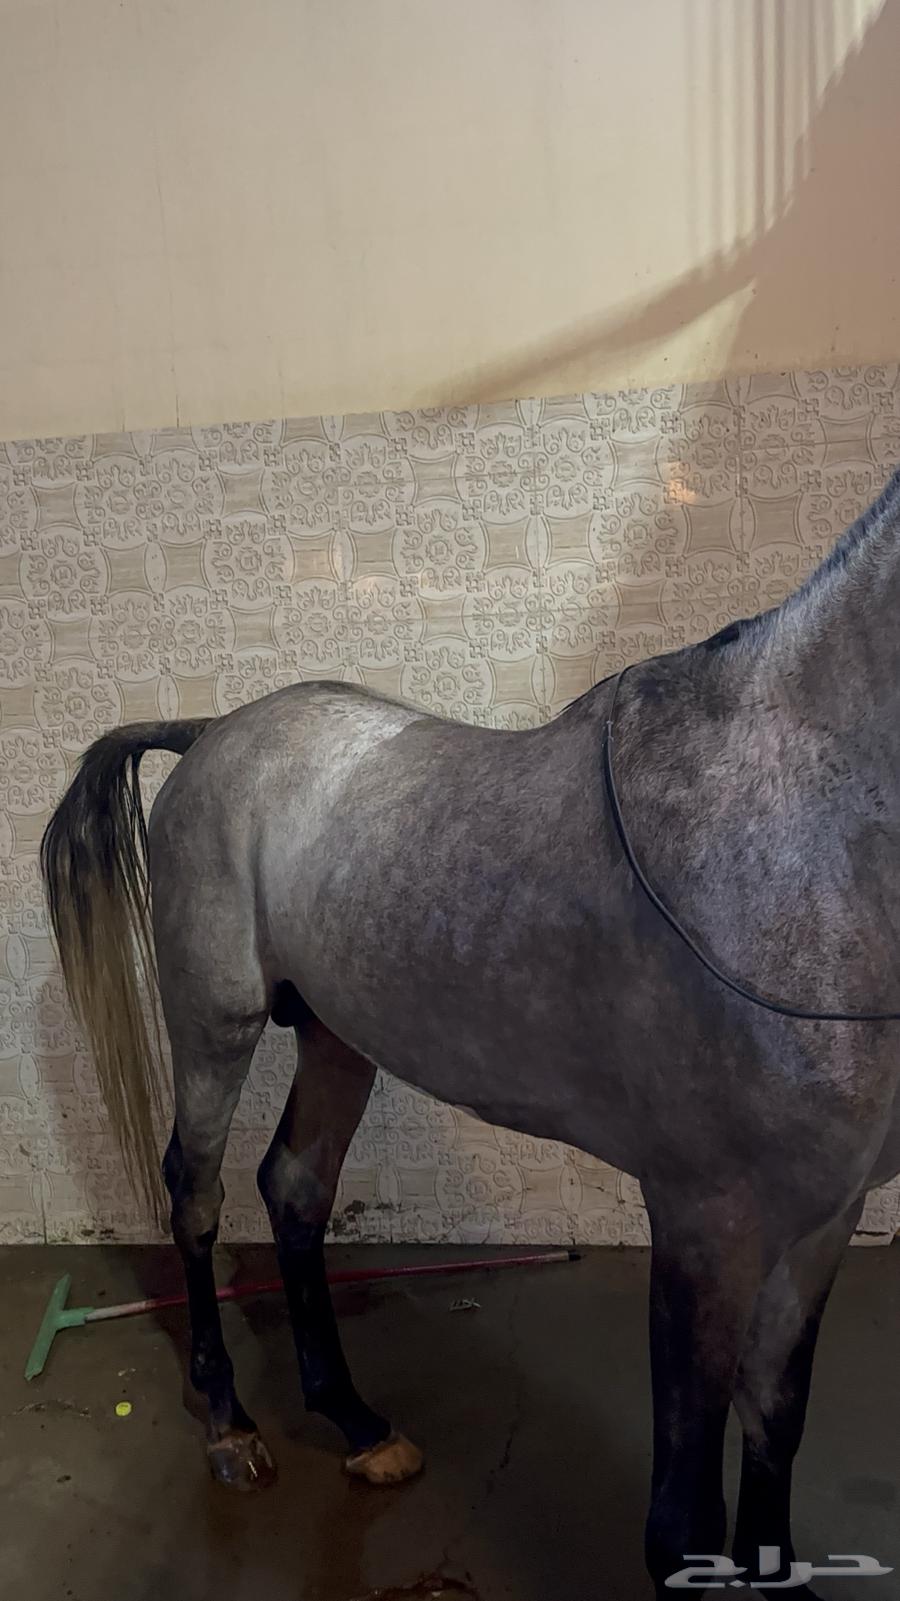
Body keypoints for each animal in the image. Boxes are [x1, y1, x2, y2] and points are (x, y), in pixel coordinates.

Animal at [41, 463, 900, 1597]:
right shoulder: (704, 1221)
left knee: (295, 1185)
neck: (788, 830)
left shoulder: (824, 1216)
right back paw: (229, 1425)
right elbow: (683, 1518)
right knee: (196, 1190)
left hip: (337, 1035)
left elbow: (775, 1434)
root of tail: (216, 730)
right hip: (214, 1022)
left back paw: (358, 1423)